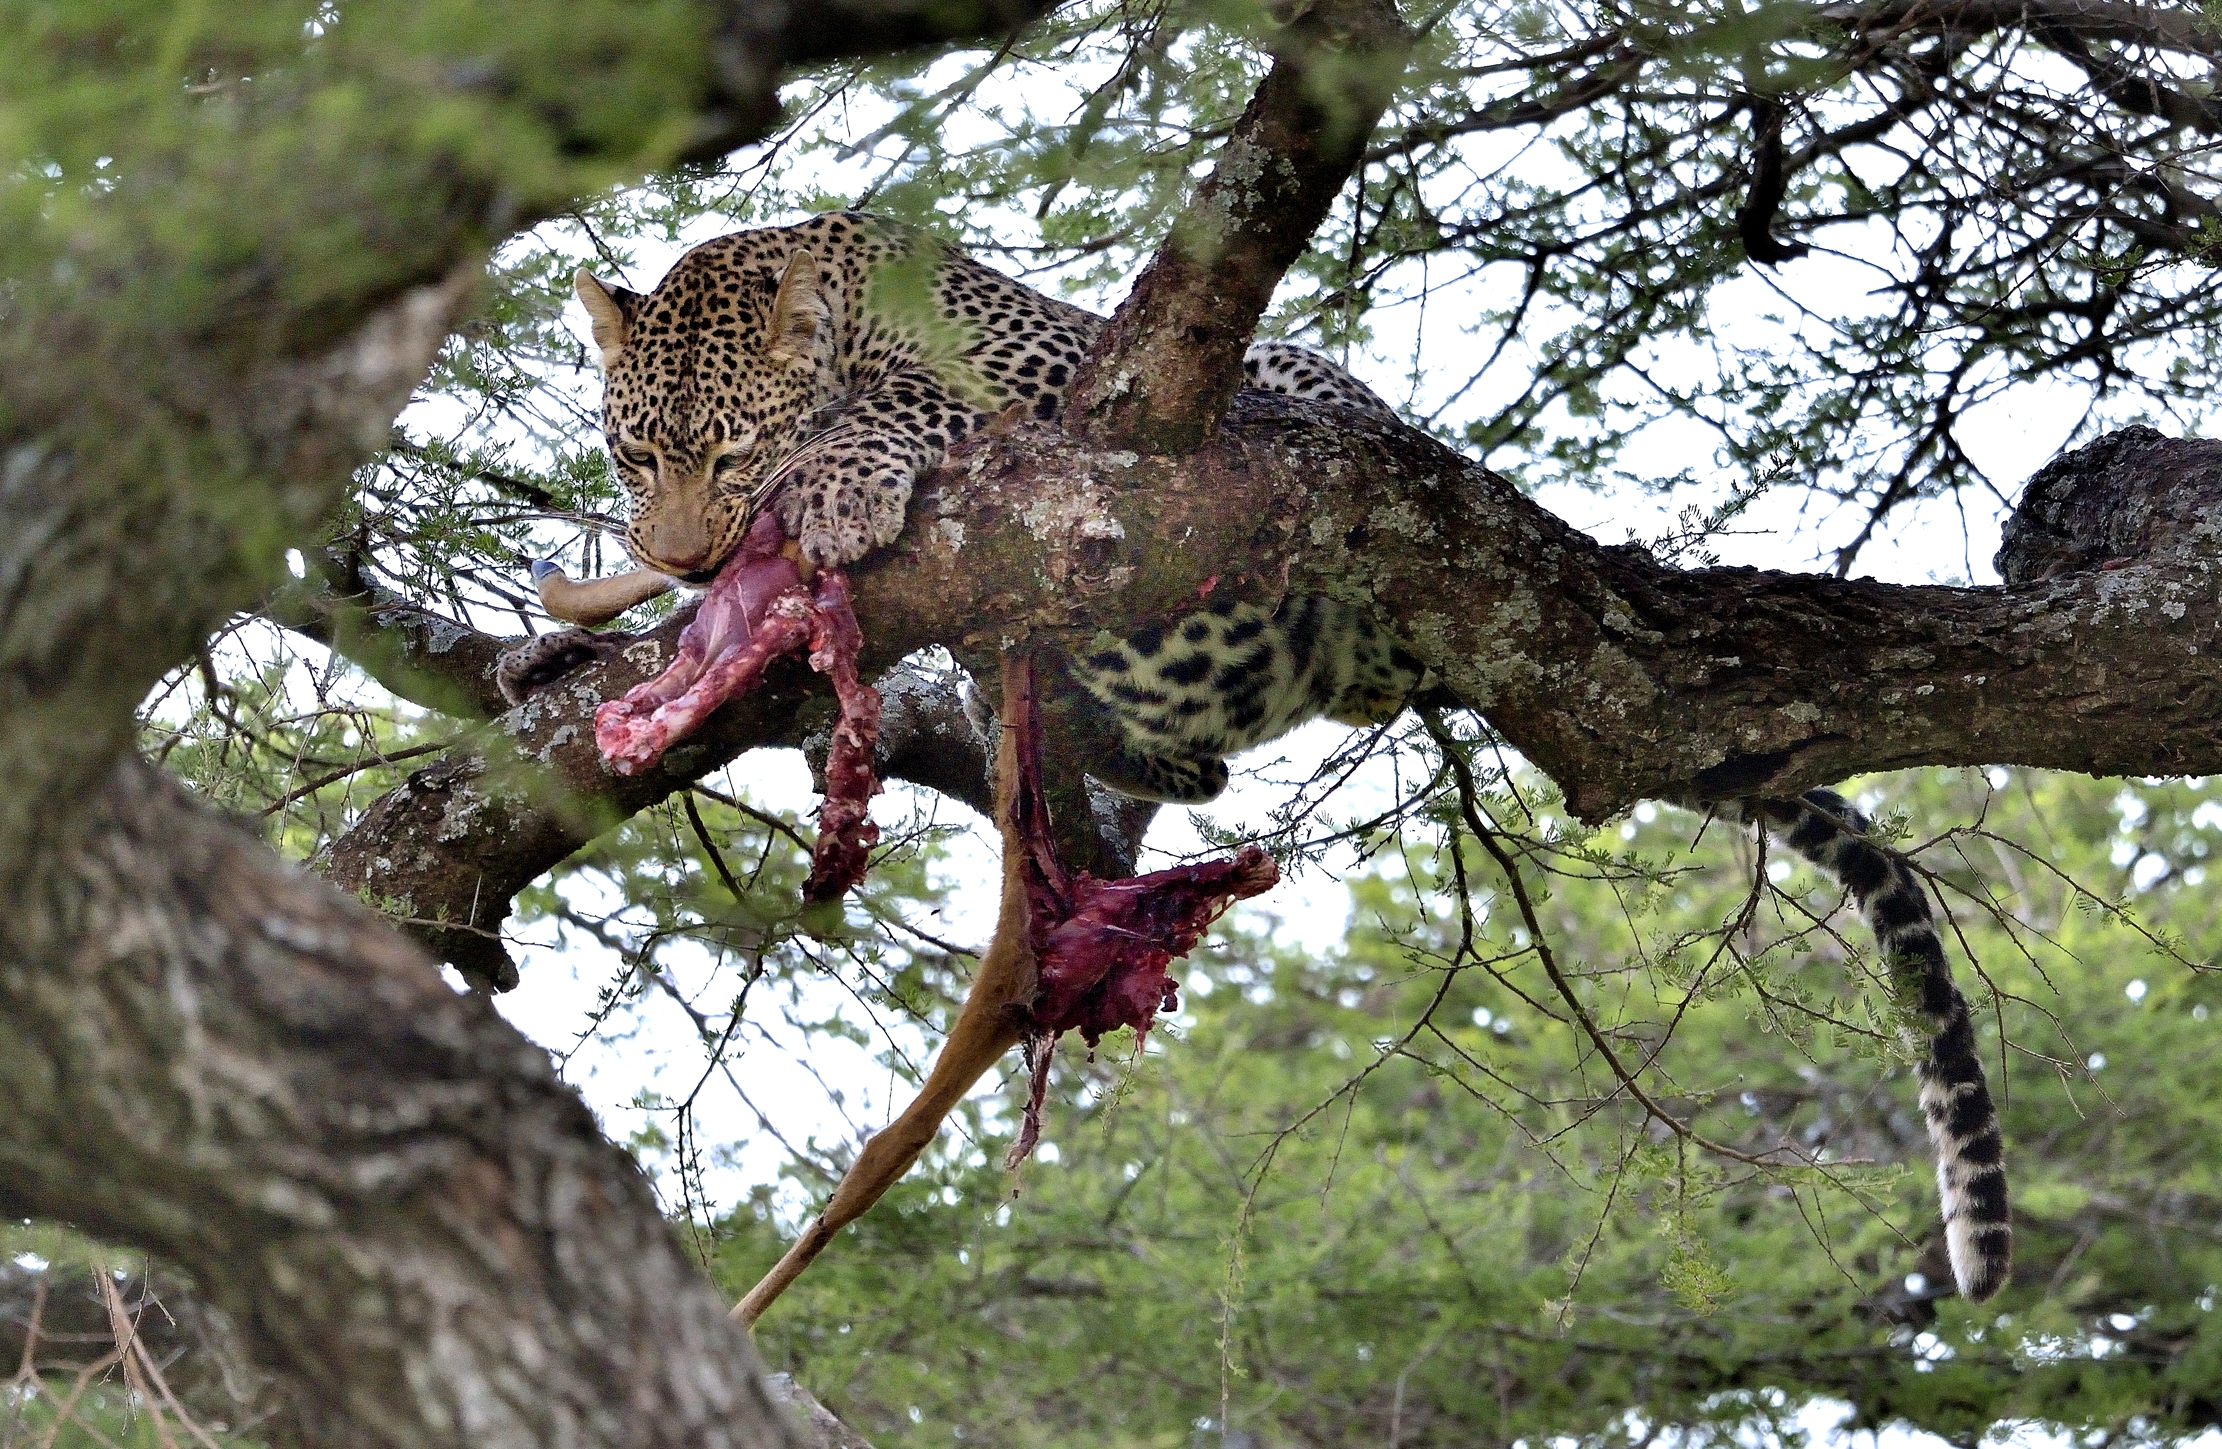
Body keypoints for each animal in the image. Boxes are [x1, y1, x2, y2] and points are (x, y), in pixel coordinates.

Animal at [539, 209, 2010, 1301]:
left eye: (731, 447)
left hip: (1309, 429)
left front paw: (841, 475)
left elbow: (913, 403)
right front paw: (594, 623)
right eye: (633, 452)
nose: (691, 558)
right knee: (1190, 764)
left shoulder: (1045, 380)